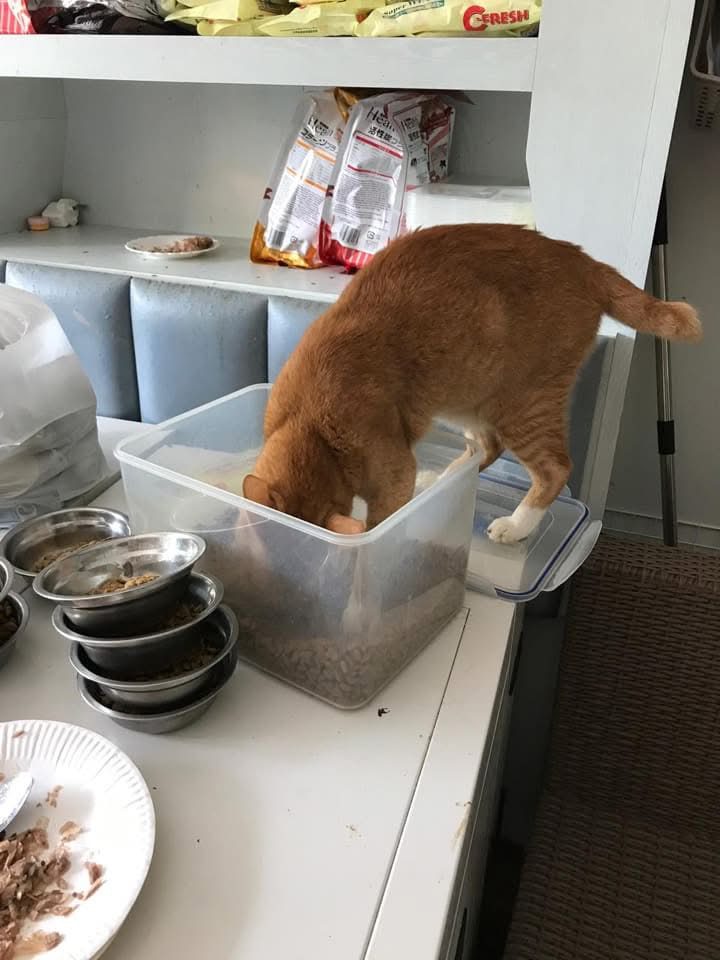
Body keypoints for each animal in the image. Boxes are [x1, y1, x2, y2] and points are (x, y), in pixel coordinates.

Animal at [243, 224, 701, 544]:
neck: (312, 424)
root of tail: (583, 260)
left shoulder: (393, 471)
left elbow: (383, 519)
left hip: (521, 404)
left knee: (553, 467)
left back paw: (515, 526)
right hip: (467, 397)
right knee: (485, 448)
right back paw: (438, 484)